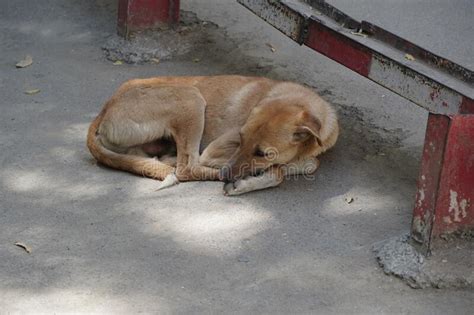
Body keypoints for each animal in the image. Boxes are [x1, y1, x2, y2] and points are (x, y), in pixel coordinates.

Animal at [87, 76, 338, 195]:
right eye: (240, 138)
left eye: (262, 153)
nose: (226, 174)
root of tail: (105, 109)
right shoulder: (214, 151)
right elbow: (278, 172)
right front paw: (247, 182)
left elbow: (309, 164)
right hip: (191, 98)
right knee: (187, 168)